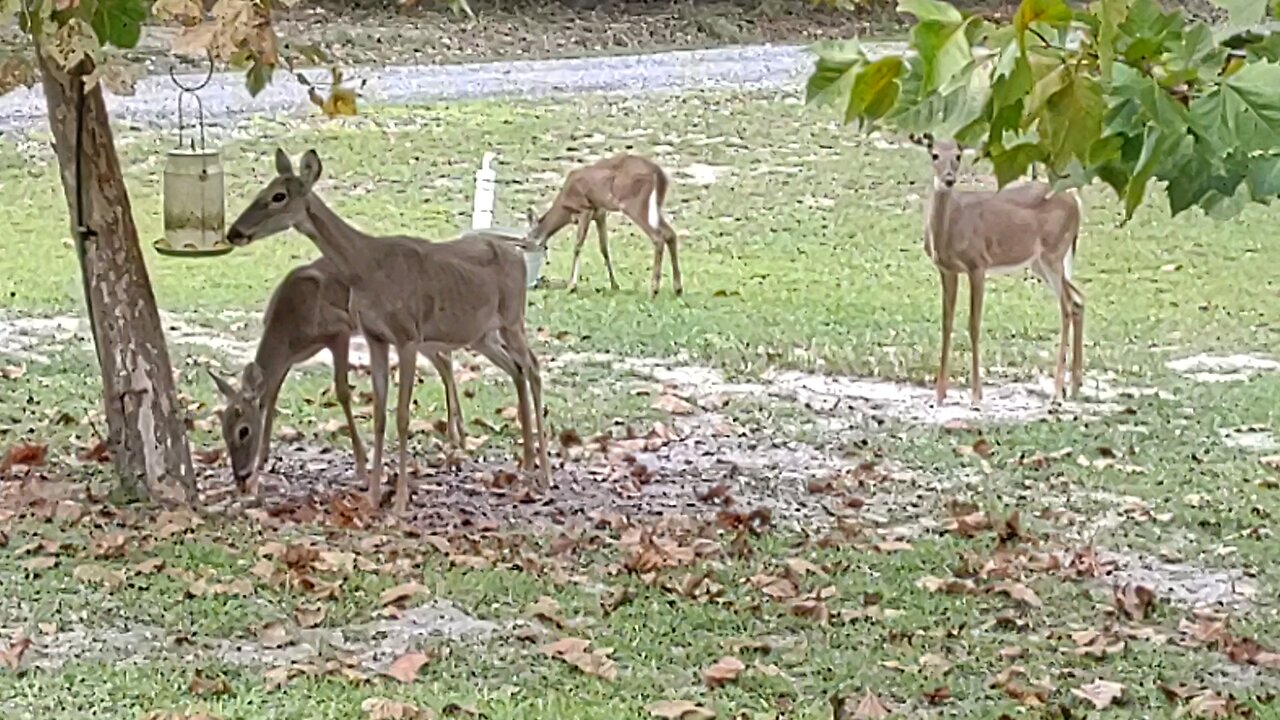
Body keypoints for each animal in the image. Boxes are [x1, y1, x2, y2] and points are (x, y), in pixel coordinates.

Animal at [207, 254, 468, 489]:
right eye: (223, 431)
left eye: (243, 431)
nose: (240, 476)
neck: (289, 325)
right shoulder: (290, 358)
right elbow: (271, 397)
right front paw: (262, 459)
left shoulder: (338, 330)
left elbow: (342, 391)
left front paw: (361, 464)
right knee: (444, 360)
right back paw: (459, 435)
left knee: (445, 358)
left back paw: (456, 436)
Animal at [522, 152, 680, 295]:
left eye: (524, 243)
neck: (565, 207)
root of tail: (659, 173)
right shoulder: (600, 213)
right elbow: (604, 248)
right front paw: (614, 285)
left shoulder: (585, 209)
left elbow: (578, 246)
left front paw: (571, 286)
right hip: (654, 205)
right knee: (670, 234)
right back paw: (677, 289)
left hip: (633, 203)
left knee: (658, 237)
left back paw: (654, 289)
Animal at [911, 133, 1090, 404]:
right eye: (934, 154)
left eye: (958, 156)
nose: (949, 179)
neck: (951, 228)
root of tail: (1075, 201)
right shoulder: (947, 269)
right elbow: (947, 323)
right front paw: (939, 394)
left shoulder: (977, 264)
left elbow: (974, 325)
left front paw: (976, 394)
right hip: (1040, 262)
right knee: (1078, 299)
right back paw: (1075, 386)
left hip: (1054, 252)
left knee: (1067, 306)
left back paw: (1057, 390)